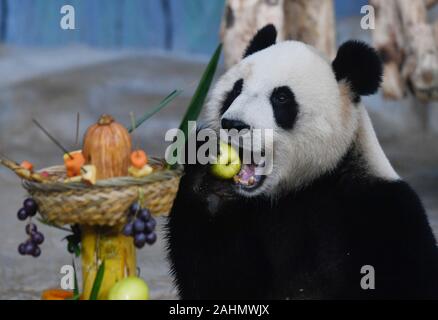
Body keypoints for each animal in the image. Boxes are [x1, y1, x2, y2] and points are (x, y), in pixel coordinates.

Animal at [166, 25, 438, 300]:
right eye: (235, 90)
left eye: (281, 98)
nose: (233, 123)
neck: (299, 186)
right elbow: (217, 280)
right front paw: (210, 181)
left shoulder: (383, 213)